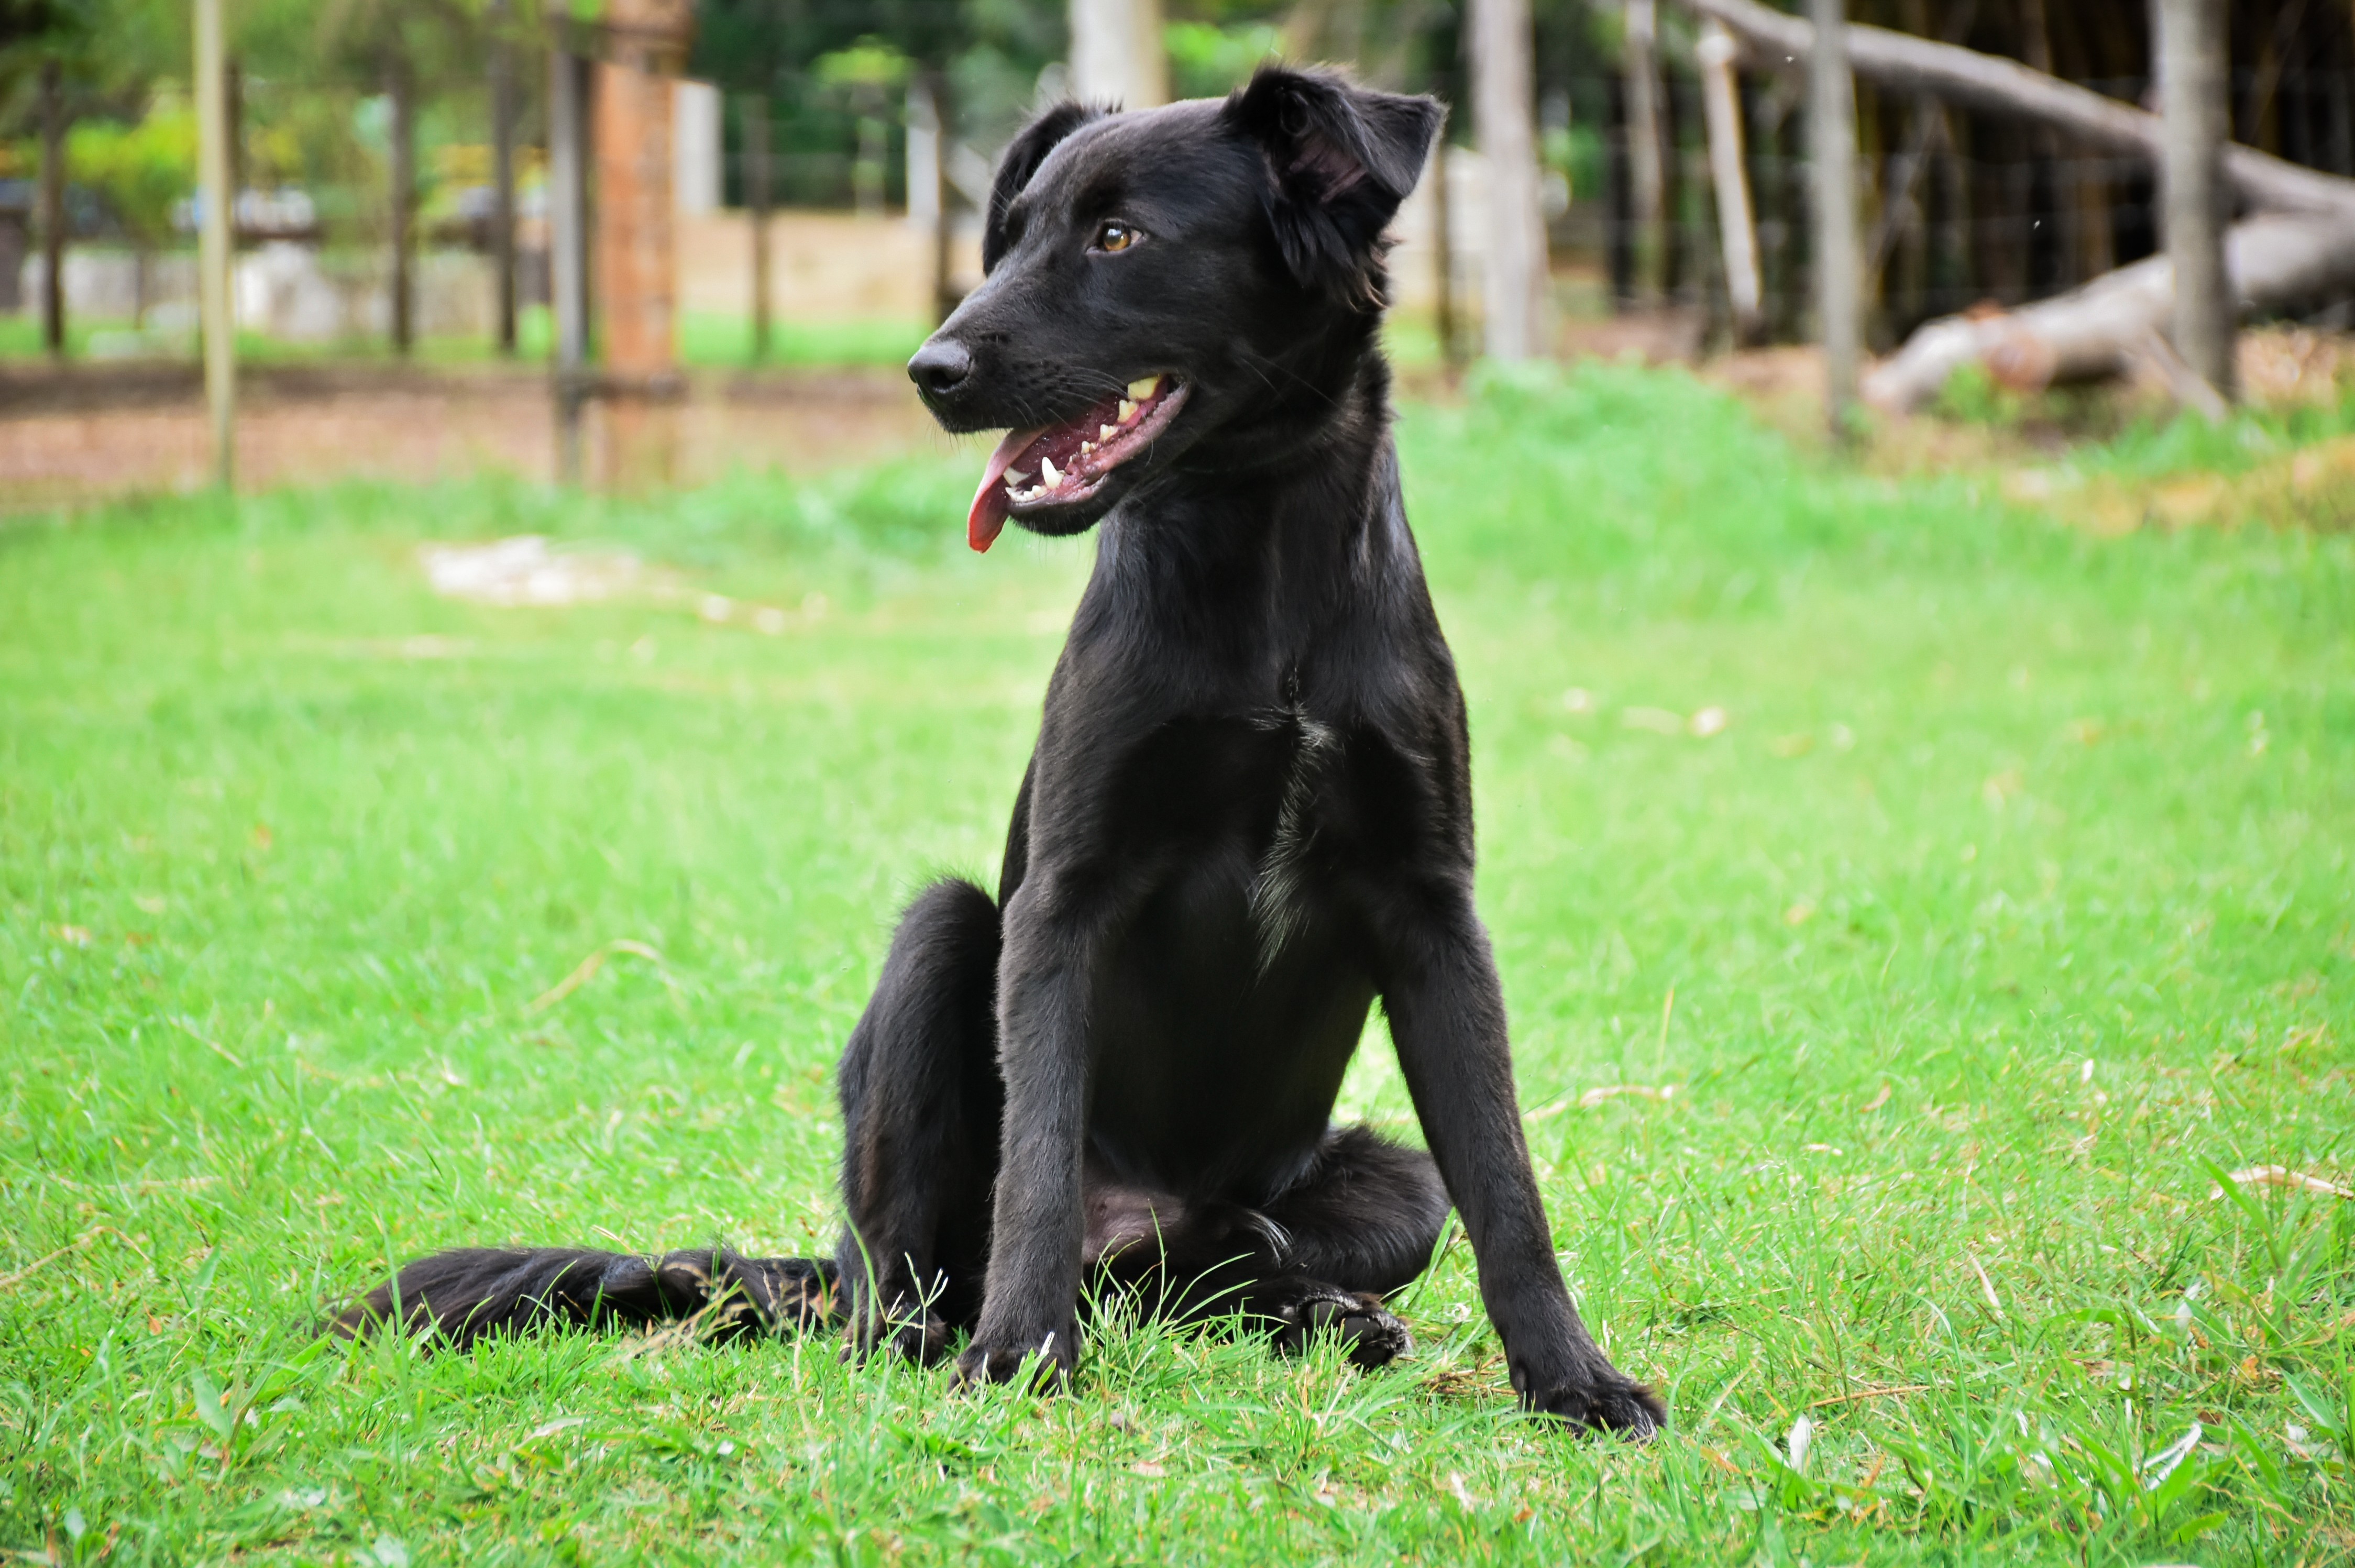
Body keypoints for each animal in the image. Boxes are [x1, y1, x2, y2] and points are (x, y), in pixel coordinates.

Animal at [344, 67, 1658, 1431]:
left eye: (1117, 238)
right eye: (1013, 234)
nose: (929, 369)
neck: (1263, 578)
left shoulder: (1431, 910)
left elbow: (1505, 1180)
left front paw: (1571, 1376)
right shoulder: (1061, 902)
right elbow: (1034, 1164)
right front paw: (1022, 1355)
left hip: (1385, 1188)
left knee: (1220, 1270)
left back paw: (1323, 1311)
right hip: (941, 952)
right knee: (911, 1277)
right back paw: (949, 1332)